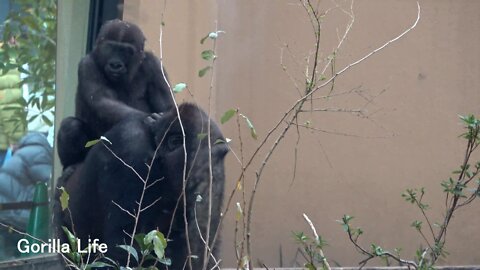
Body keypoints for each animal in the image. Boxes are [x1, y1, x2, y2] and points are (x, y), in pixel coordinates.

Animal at [57, 20, 174, 168]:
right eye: (110, 48)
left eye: (126, 51)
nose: (116, 65)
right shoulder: (87, 65)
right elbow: (102, 101)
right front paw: (151, 120)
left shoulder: (155, 66)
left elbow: (168, 107)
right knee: (70, 125)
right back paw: (71, 165)